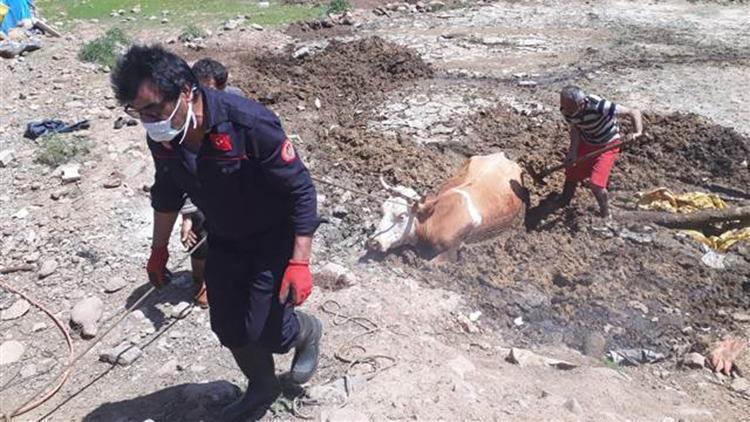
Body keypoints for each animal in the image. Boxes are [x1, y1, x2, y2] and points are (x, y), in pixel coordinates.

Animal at [368, 152, 524, 258]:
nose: (374, 242)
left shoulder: (450, 250)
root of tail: (502, 156)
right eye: (382, 211)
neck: (435, 217)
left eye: (402, 216)